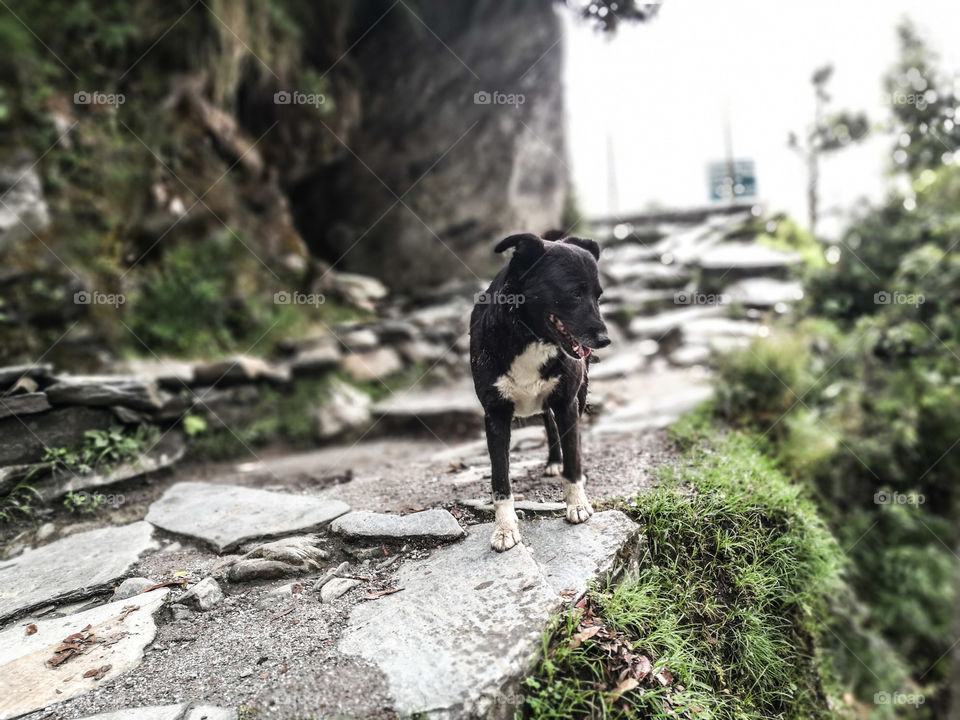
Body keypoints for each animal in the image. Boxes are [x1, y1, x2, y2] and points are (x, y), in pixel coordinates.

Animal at [468, 231, 612, 552]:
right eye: (574, 293)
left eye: (598, 296)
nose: (605, 339)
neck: (528, 335)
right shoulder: (495, 414)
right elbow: (500, 479)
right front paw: (505, 529)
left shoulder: (567, 402)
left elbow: (573, 458)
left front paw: (577, 505)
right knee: (548, 423)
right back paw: (552, 461)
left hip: (576, 394)